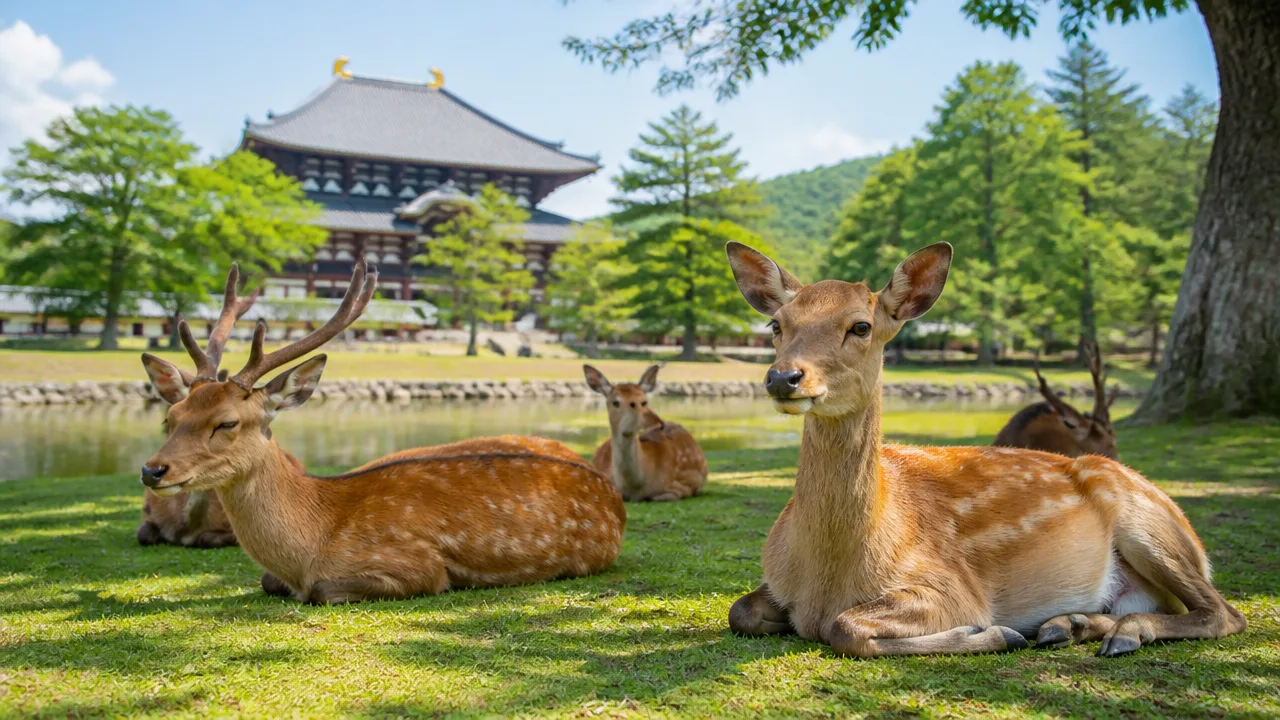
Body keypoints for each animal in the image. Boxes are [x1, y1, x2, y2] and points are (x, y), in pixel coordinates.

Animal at [138, 258, 626, 604]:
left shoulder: (418, 565)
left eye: (227, 422)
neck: (311, 544)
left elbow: (322, 591)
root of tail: (615, 497)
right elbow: (266, 580)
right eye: (171, 416)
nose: (152, 470)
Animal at [584, 365, 708, 502]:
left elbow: (662, 496)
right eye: (615, 402)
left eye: (644, 401)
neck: (633, 488)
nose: (657, 423)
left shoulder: (686, 483)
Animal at [723, 240, 1245, 657]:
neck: (826, 575)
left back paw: (1121, 633)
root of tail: (1197, 543)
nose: (783, 377)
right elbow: (740, 610)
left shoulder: (953, 586)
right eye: (776, 324)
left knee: (1224, 612)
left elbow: (845, 627)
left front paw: (994, 633)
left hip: (1149, 525)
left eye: (862, 326)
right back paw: (1068, 625)